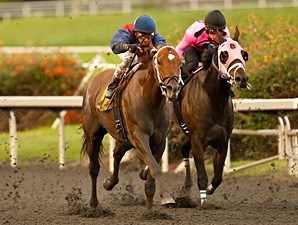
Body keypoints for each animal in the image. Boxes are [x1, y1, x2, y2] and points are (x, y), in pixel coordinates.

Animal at [81, 45, 182, 209]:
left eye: (180, 63)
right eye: (160, 62)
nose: (172, 88)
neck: (150, 100)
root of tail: (94, 81)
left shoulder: (160, 140)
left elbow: (152, 167)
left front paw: (151, 202)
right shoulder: (138, 136)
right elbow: (155, 168)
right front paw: (167, 197)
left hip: (123, 137)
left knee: (116, 154)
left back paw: (109, 182)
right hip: (93, 135)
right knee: (94, 167)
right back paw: (94, 202)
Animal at [173, 27, 253, 207]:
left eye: (244, 54)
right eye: (224, 54)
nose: (241, 78)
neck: (213, 99)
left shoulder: (222, 141)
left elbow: (217, 177)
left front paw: (209, 190)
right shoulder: (198, 141)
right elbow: (202, 175)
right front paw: (203, 200)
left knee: (183, 149)